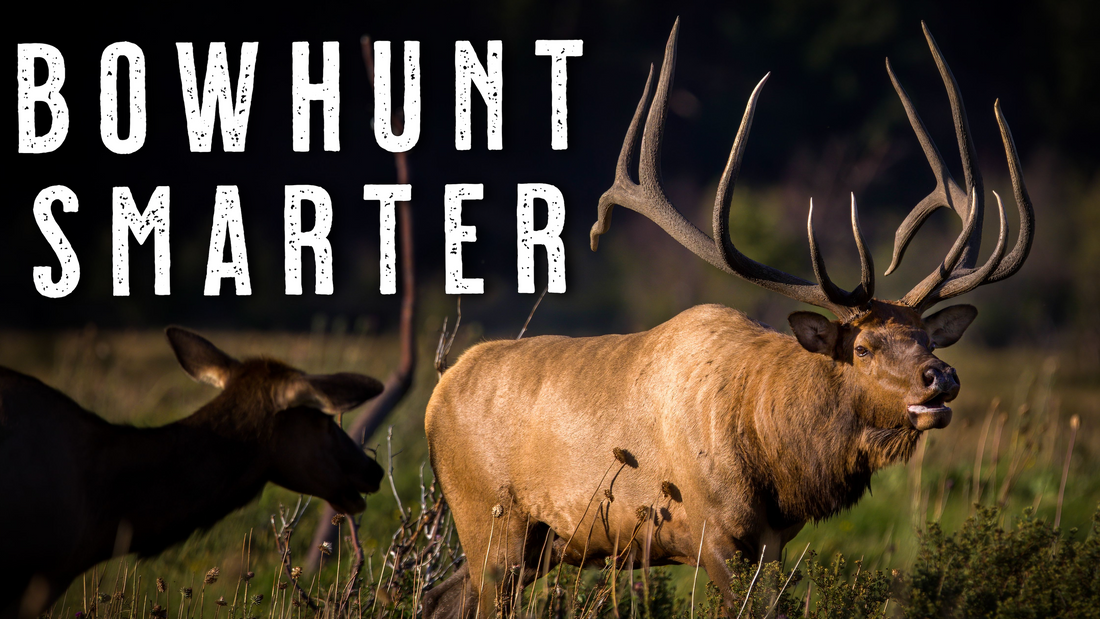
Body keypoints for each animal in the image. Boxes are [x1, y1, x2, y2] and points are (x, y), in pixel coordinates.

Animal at [421, 20, 1034, 618]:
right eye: (862, 348)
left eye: (929, 337)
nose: (941, 377)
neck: (778, 455)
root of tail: (437, 395)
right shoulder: (712, 532)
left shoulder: (774, 540)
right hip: (491, 519)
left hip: (541, 542)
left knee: (437, 596)